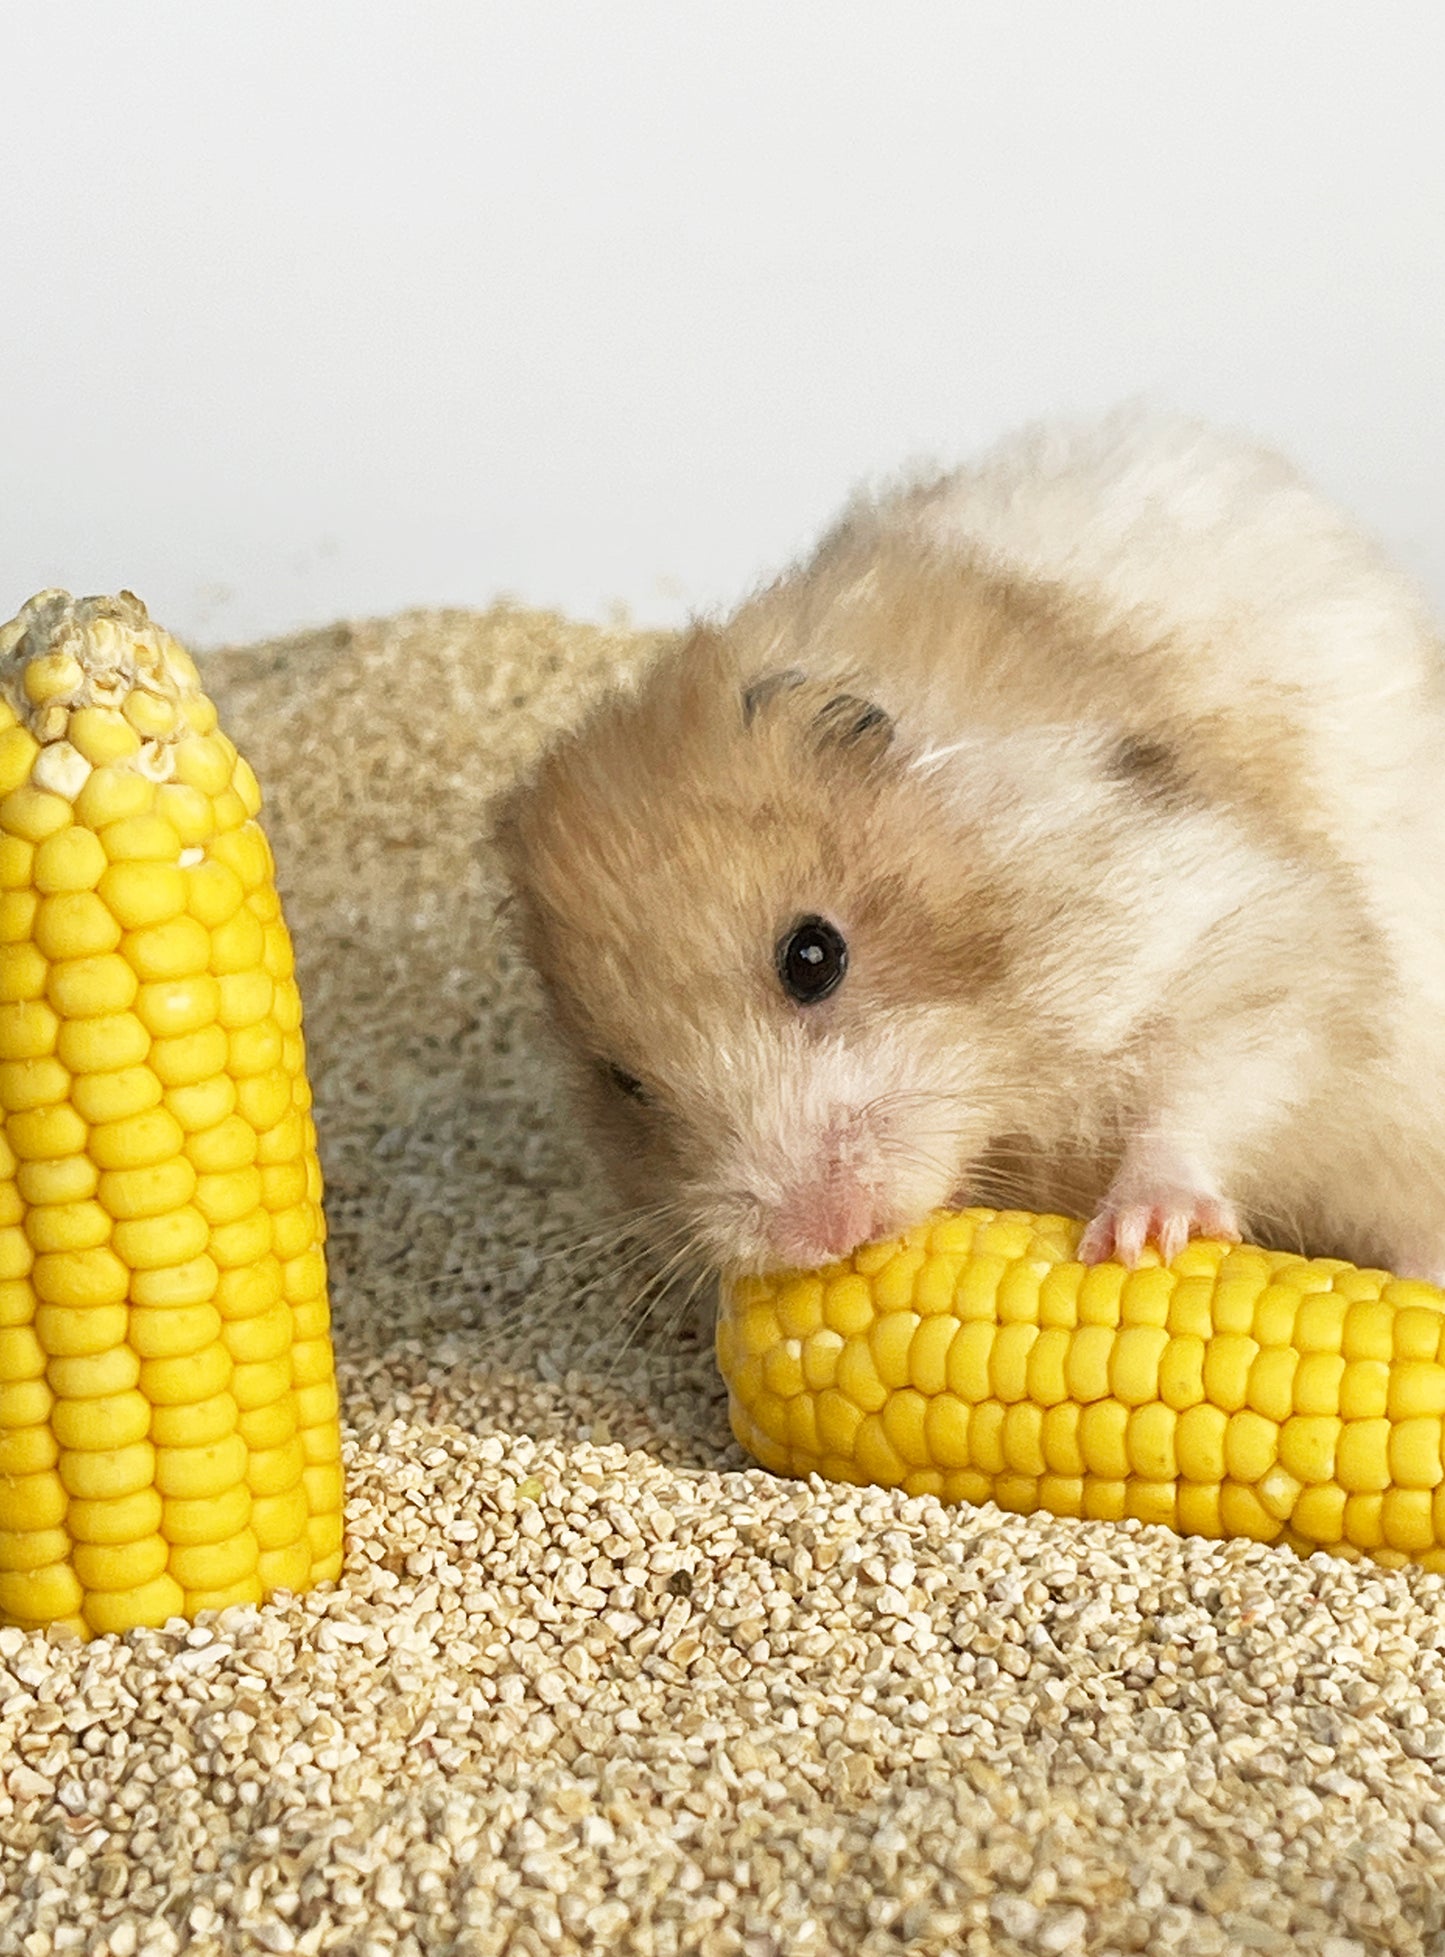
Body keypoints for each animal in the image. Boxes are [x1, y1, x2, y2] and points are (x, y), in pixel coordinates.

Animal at [489, 405, 1441, 1275]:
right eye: (624, 1082)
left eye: (812, 956)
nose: (822, 1236)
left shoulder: (1241, 930)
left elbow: (1207, 1085)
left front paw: (1138, 1238)